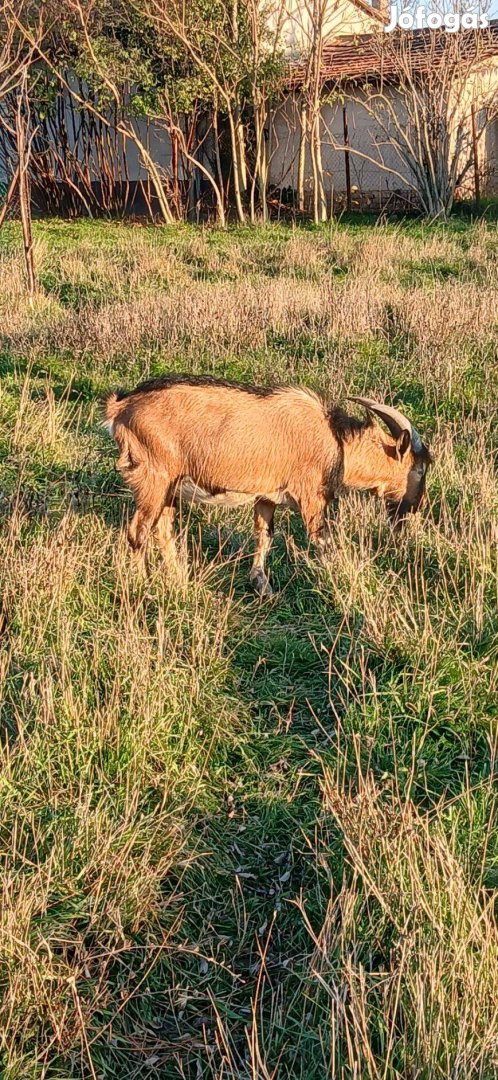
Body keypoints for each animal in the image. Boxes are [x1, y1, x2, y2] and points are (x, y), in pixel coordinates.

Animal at [105, 375, 429, 596]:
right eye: (421, 468)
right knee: (138, 532)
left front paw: (262, 585)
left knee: (162, 530)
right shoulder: (312, 497)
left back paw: (179, 579)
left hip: (169, 488)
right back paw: (142, 584)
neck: (336, 439)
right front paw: (344, 577)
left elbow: (264, 535)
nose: (415, 508)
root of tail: (120, 407)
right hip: (154, 478)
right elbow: (323, 540)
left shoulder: (266, 496)